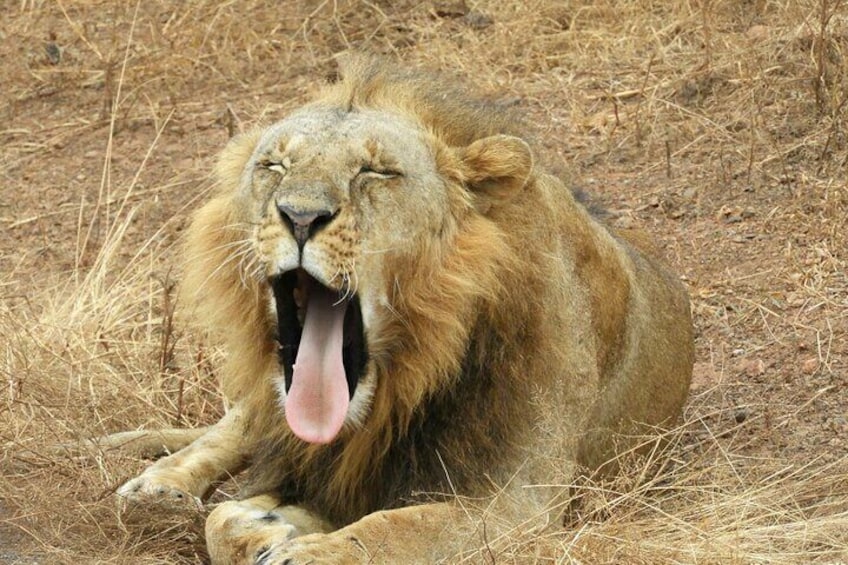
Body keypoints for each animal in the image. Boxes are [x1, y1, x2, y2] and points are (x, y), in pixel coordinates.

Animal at [115, 55, 694, 564]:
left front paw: (303, 545)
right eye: (273, 165)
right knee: (227, 429)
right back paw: (156, 488)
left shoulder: (519, 498)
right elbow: (220, 518)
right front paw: (268, 525)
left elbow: (399, 529)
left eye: (376, 171)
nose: (299, 216)